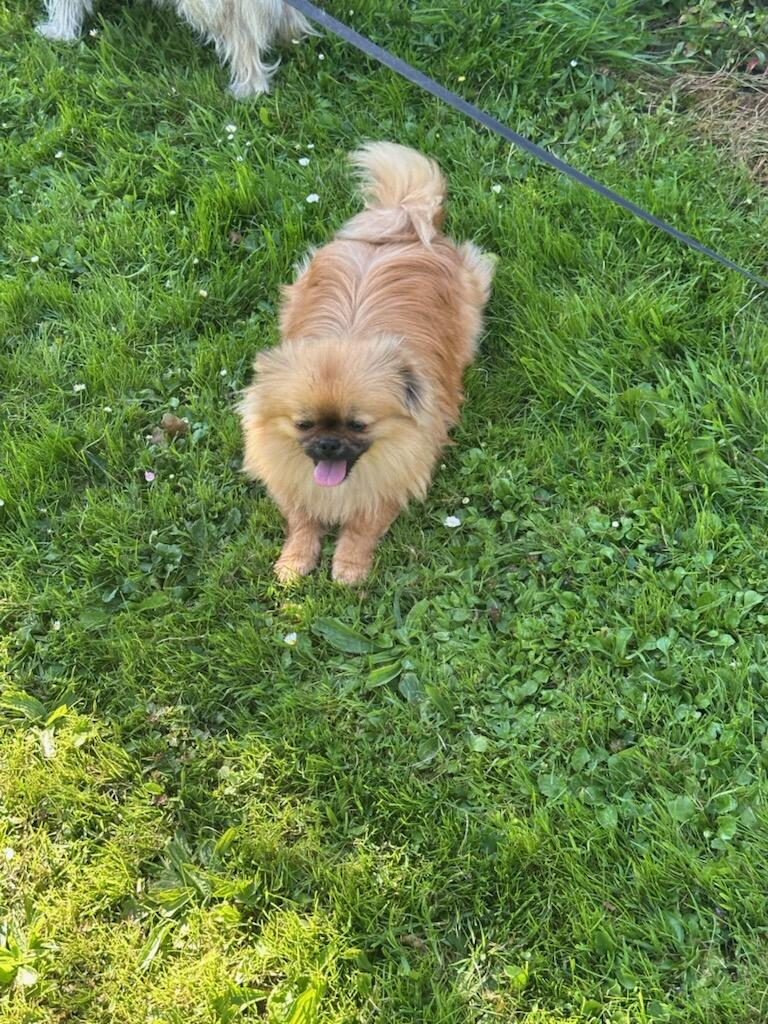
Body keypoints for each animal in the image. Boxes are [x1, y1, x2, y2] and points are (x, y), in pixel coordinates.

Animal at [239, 142, 494, 584]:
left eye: (358, 426)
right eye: (303, 425)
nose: (328, 443)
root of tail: (401, 225)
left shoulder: (391, 480)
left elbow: (362, 525)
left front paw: (349, 567)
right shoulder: (292, 484)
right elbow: (301, 520)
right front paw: (294, 562)